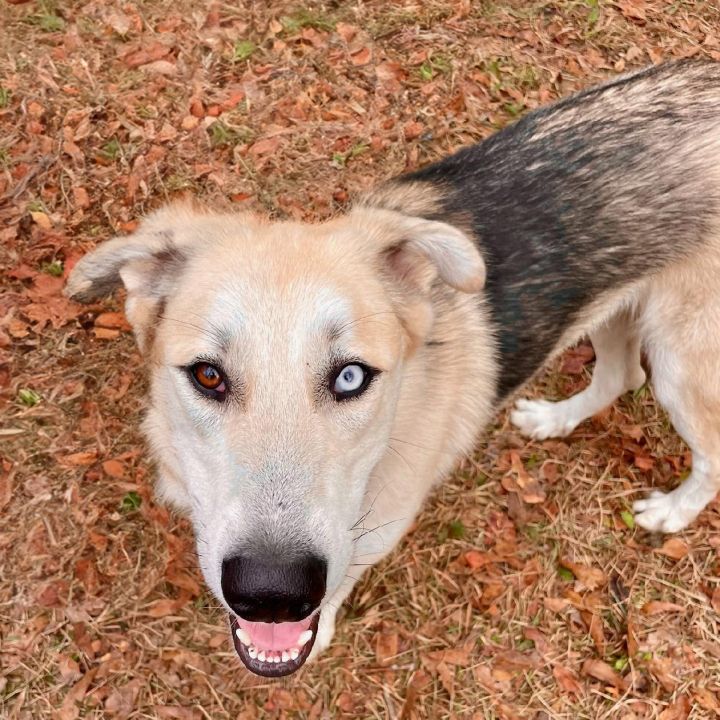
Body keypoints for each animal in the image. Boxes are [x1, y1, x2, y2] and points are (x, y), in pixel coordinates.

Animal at [64, 60, 720, 676]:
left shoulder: (368, 541)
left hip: (681, 366)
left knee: (708, 451)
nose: (272, 596)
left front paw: (321, 628)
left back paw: (672, 512)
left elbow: (338, 588)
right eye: (207, 375)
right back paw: (553, 421)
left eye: (350, 377)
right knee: (620, 377)